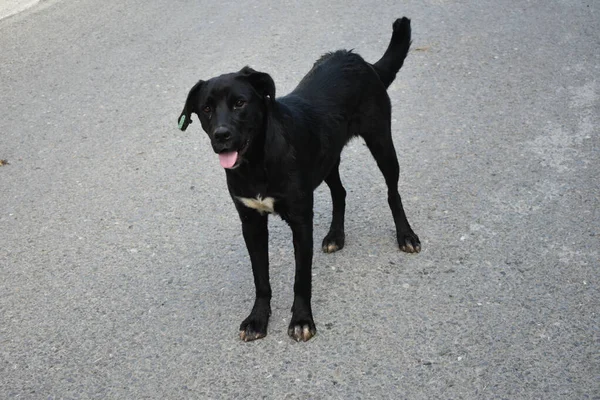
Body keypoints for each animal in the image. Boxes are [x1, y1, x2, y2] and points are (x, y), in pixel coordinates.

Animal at [178, 17, 420, 342]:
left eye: (240, 103)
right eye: (206, 108)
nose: (221, 135)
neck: (257, 164)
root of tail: (359, 60)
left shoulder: (301, 221)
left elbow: (301, 277)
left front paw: (302, 319)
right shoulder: (251, 223)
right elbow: (261, 278)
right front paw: (258, 319)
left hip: (381, 141)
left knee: (393, 192)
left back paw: (405, 235)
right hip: (328, 160)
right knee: (340, 192)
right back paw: (335, 235)